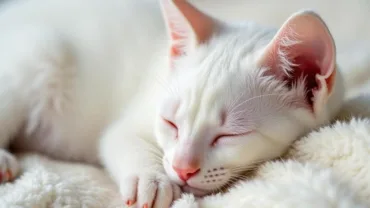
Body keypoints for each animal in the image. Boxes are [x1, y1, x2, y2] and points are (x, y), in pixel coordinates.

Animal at [0, 0, 344, 206]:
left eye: (229, 135)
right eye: (171, 123)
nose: (182, 168)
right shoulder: (126, 123)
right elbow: (123, 141)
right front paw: (150, 180)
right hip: (42, 52)